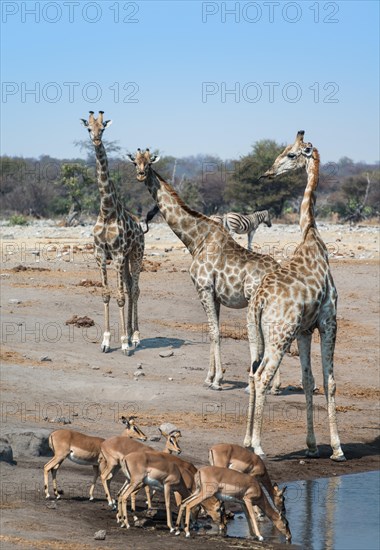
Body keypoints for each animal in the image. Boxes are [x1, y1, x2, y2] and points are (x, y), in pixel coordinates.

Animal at [80, 112, 144, 356]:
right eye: (89, 128)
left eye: (103, 128)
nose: (96, 140)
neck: (107, 211)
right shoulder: (100, 254)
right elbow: (107, 294)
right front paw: (106, 341)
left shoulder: (116, 254)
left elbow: (120, 297)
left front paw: (124, 343)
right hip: (125, 260)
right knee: (128, 286)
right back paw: (129, 332)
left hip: (136, 254)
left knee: (134, 290)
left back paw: (135, 337)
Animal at [127, 149, 280, 390]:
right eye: (135, 162)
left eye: (149, 162)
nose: (141, 175)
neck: (195, 240)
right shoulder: (215, 295)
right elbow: (212, 330)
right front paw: (210, 377)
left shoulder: (204, 288)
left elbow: (215, 332)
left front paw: (217, 380)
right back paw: (274, 385)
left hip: (254, 302)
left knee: (259, 337)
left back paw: (254, 384)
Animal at [245, 132, 346, 464]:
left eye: (290, 154)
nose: (267, 173)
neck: (310, 235)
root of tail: (259, 301)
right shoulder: (329, 321)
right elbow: (329, 381)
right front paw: (337, 449)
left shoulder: (304, 330)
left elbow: (308, 380)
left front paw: (313, 445)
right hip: (280, 334)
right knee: (263, 377)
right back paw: (259, 447)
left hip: (257, 334)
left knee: (251, 374)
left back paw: (247, 440)